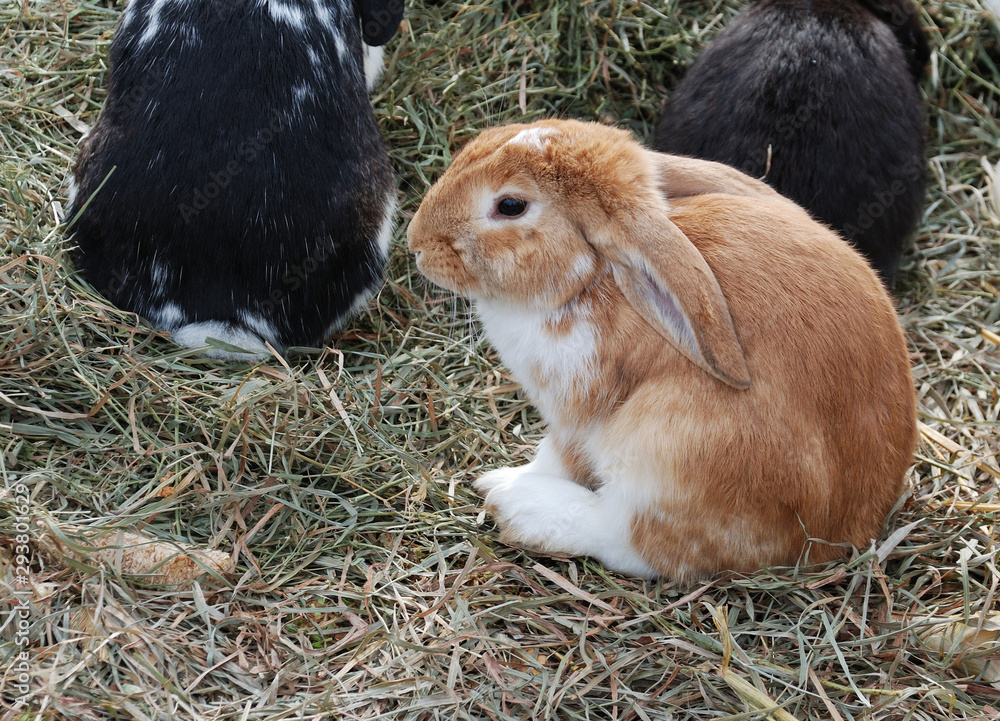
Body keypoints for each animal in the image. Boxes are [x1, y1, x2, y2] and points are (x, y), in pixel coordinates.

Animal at [407, 119, 917, 580]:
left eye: (510, 205)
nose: (415, 243)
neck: (594, 278)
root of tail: (841, 535)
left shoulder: (576, 414)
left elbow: (557, 458)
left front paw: (513, 477)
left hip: (670, 446)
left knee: (635, 541)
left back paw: (514, 502)